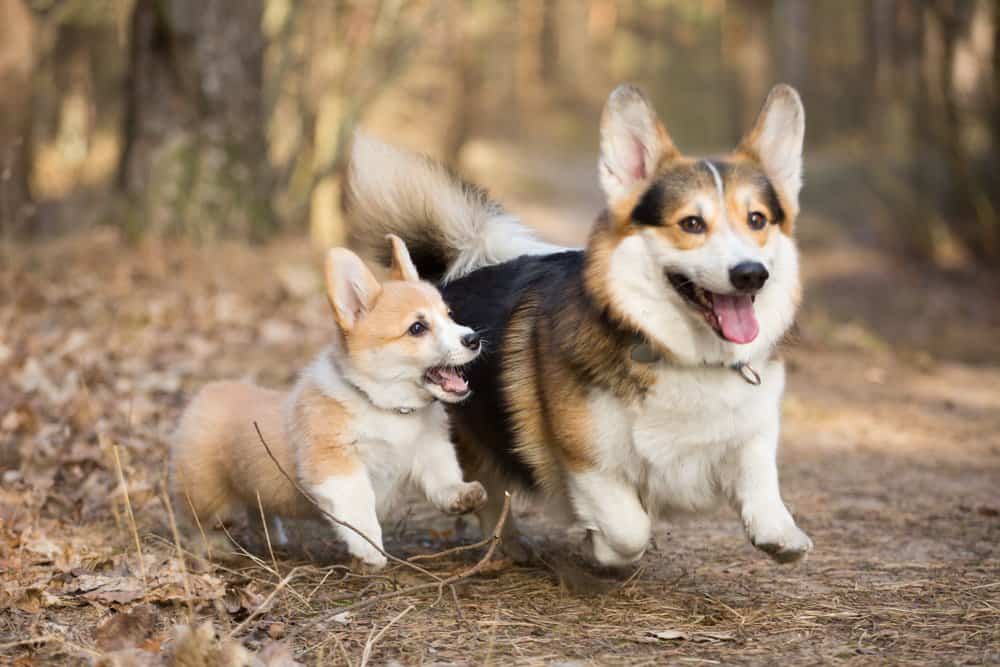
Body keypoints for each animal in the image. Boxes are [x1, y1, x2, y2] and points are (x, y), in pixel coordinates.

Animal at [171, 235, 488, 568]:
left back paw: (271, 536)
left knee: (257, 507)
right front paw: (370, 550)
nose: (473, 338)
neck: (388, 407)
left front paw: (463, 494)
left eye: (449, 315)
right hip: (204, 492)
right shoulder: (336, 463)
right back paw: (215, 548)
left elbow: (443, 479)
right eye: (417, 328)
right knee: (199, 522)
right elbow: (359, 507)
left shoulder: (429, 449)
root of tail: (207, 392)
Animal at [342, 85, 812, 568]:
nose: (751, 274)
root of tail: (453, 276)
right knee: (488, 490)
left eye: (757, 220)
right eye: (692, 224)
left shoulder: (755, 428)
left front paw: (780, 535)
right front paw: (599, 548)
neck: (683, 354)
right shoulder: (587, 460)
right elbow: (628, 528)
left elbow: (760, 477)